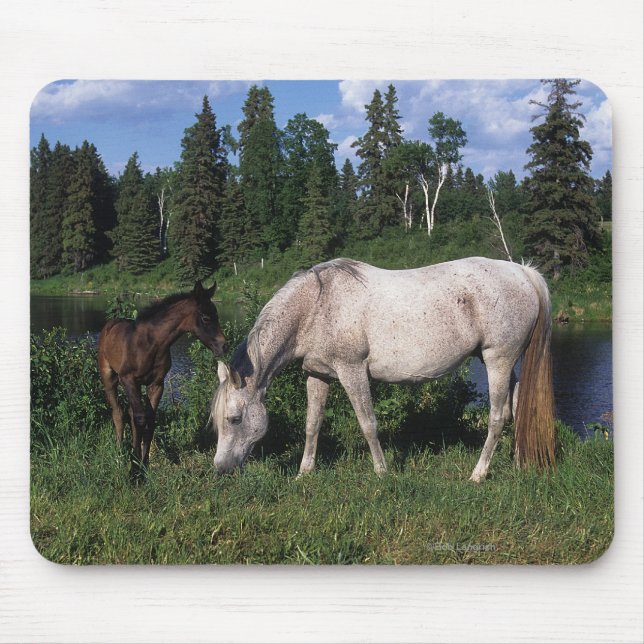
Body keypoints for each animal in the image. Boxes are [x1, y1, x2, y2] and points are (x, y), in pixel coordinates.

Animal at [98, 281, 226, 474]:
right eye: (205, 317)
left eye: (216, 315)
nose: (223, 345)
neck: (152, 344)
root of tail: (110, 324)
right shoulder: (128, 380)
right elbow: (140, 418)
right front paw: (134, 468)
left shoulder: (157, 384)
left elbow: (150, 419)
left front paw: (144, 463)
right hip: (110, 378)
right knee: (118, 413)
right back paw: (120, 453)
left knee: (130, 412)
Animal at [211, 257, 556, 482]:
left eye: (235, 418)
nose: (220, 468)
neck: (316, 305)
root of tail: (523, 273)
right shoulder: (318, 375)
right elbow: (312, 424)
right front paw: (304, 472)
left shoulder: (352, 371)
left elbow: (368, 424)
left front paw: (381, 472)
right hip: (500, 363)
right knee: (515, 407)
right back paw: (517, 463)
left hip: (499, 360)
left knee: (497, 417)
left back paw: (478, 474)